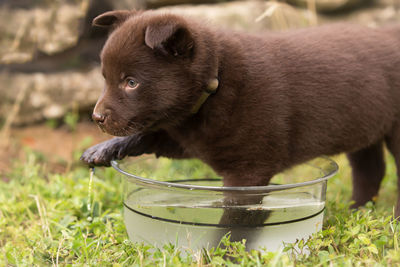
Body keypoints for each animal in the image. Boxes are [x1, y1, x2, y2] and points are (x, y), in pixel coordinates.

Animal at [80, 11, 400, 220]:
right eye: (105, 78)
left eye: (131, 82)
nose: (96, 118)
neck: (216, 82)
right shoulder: (191, 138)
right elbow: (151, 135)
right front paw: (104, 149)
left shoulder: (249, 169)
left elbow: (236, 212)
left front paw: (225, 248)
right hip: (365, 123)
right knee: (370, 170)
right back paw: (358, 212)